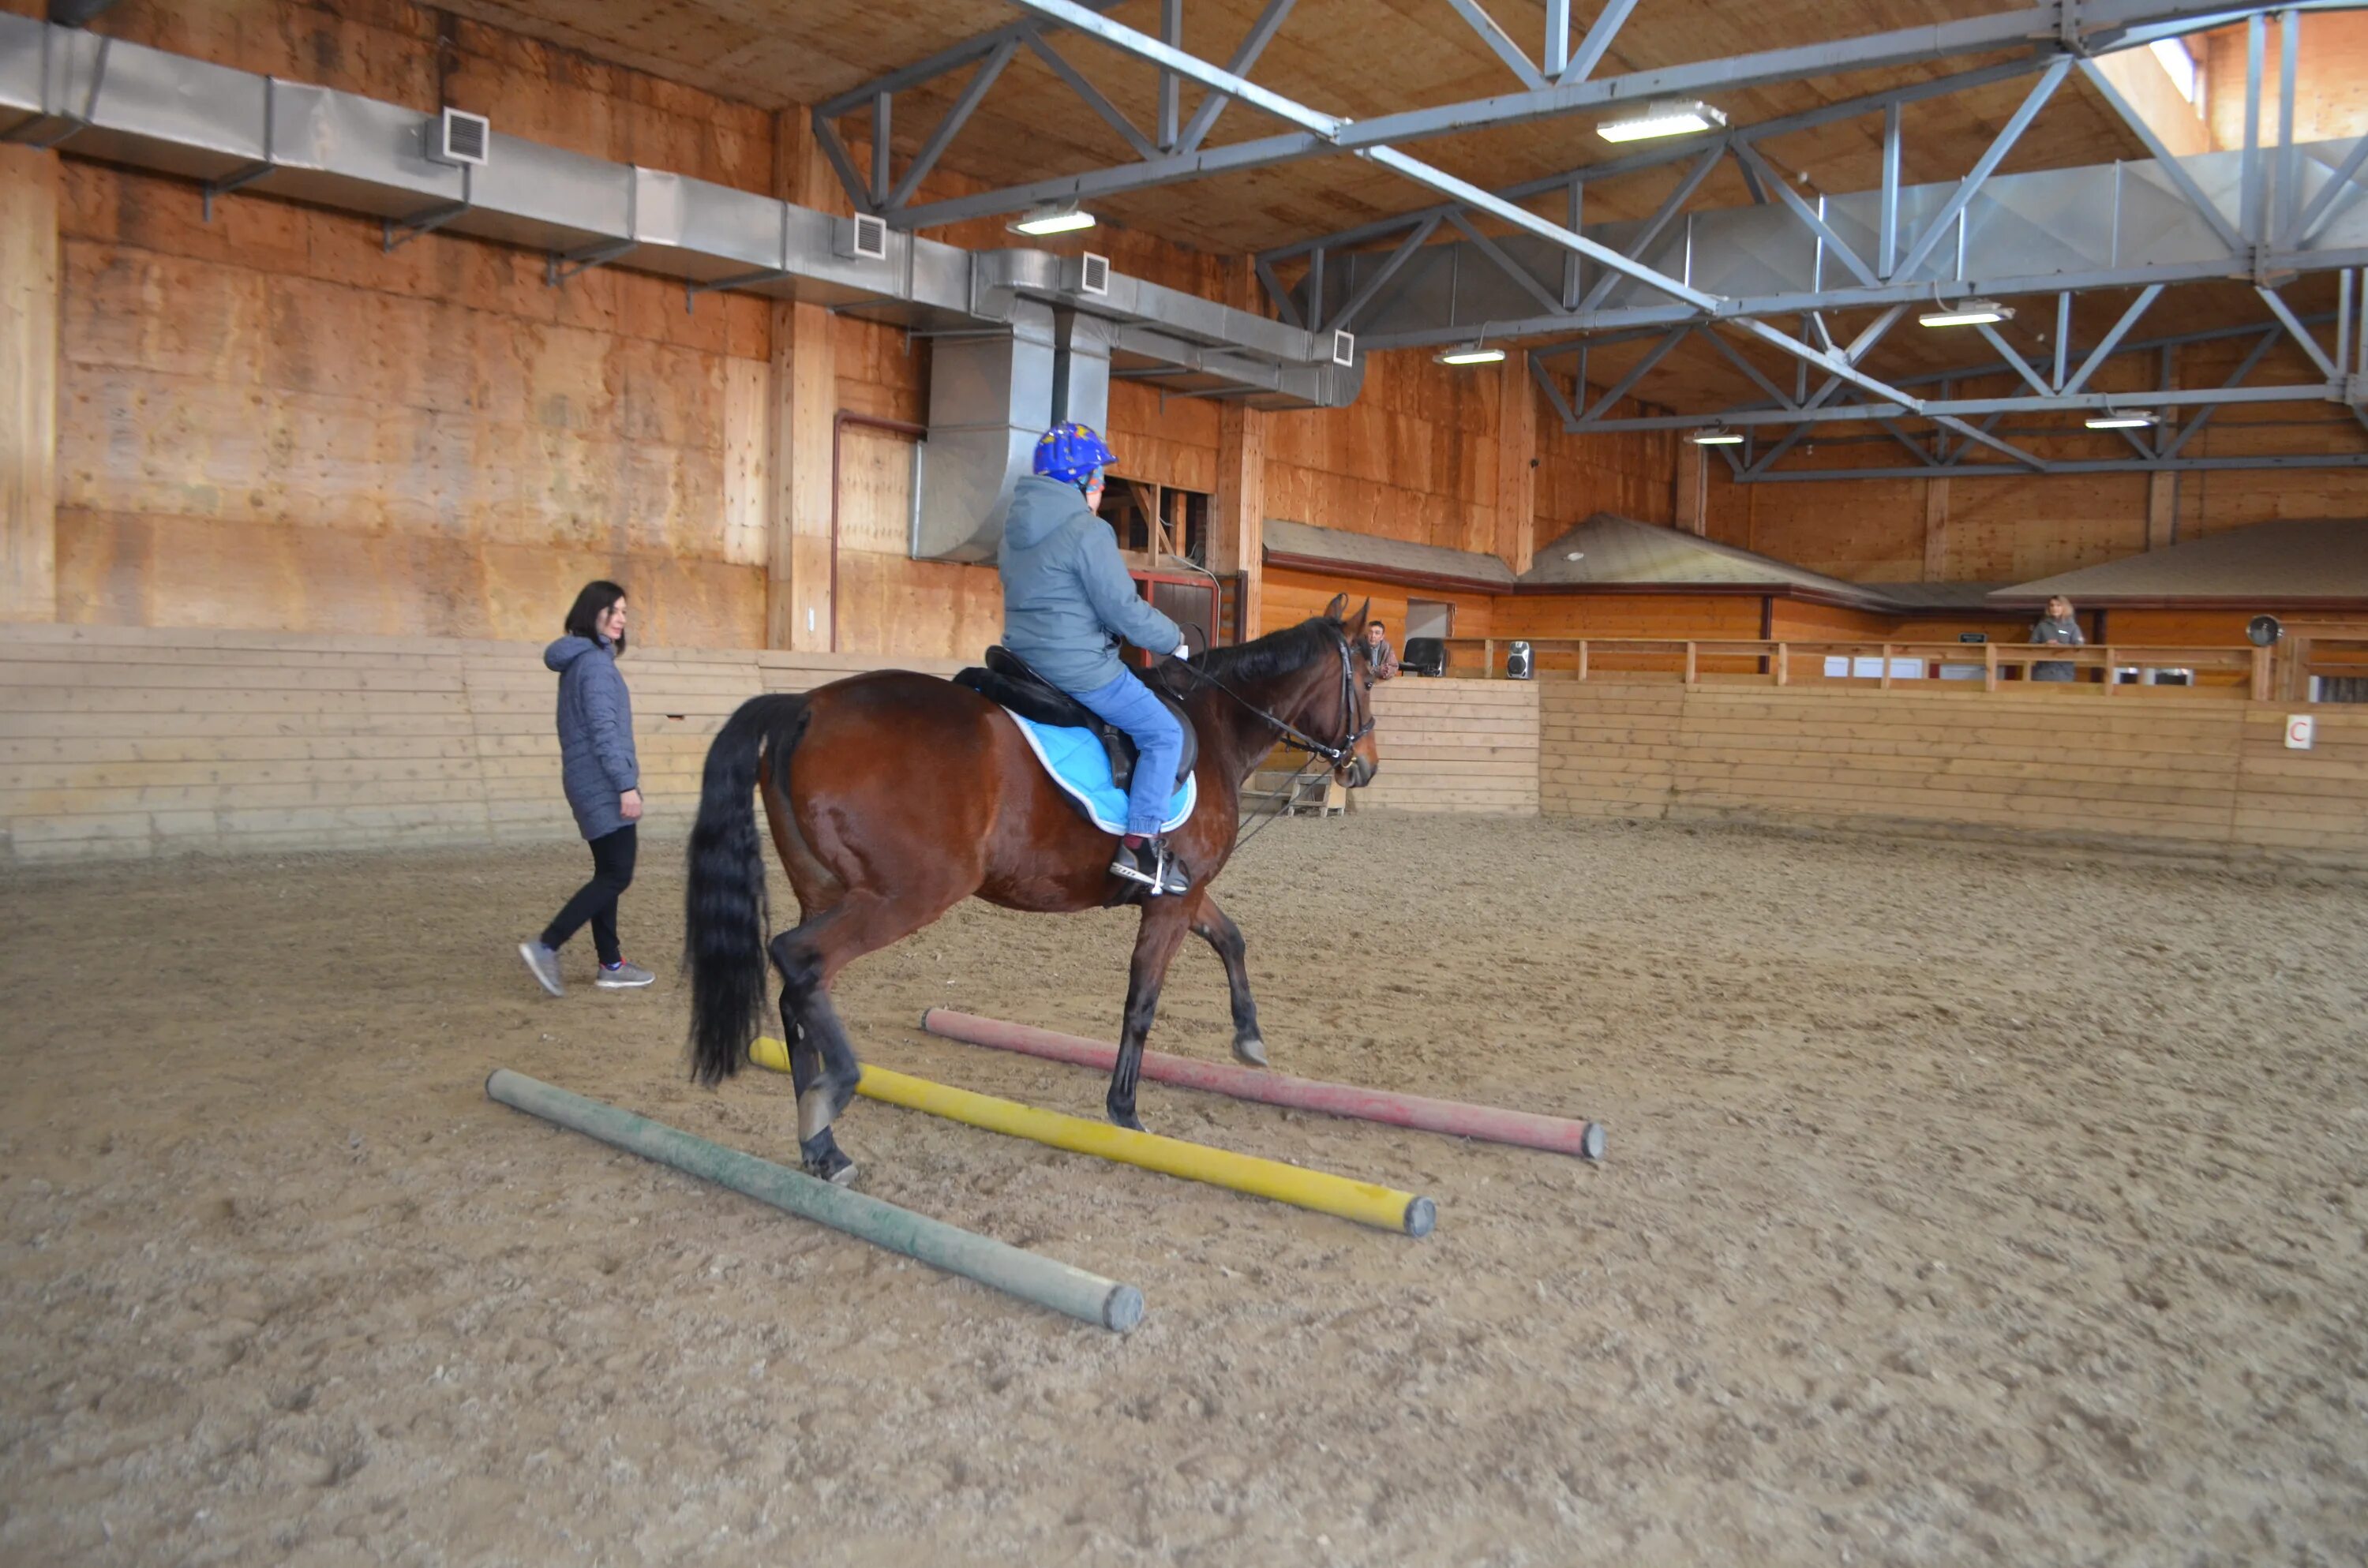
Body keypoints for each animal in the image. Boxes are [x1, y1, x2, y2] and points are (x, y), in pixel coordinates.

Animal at [682, 597, 1383, 1184]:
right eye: (1369, 679)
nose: (1365, 767)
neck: (1216, 726)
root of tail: (805, 705)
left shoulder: (1181, 888)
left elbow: (1232, 938)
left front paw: (1249, 1037)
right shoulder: (1171, 900)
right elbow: (1142, 1001)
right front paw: (1125, 1110)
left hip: (827, 889)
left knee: (798, 989)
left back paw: (822, 1145)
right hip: (907, 893)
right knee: (798, 959)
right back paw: (834, 1093)